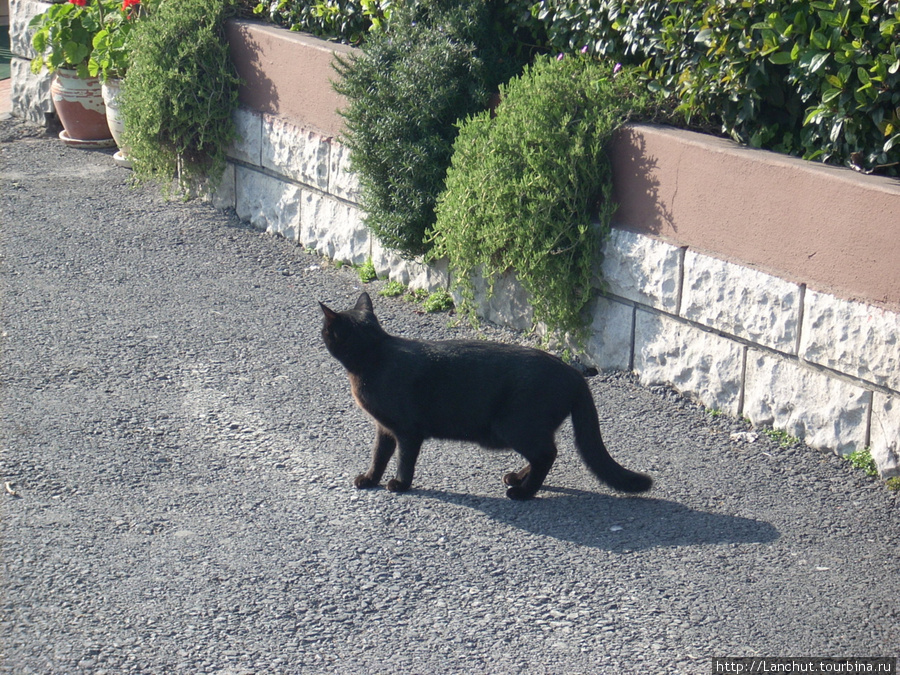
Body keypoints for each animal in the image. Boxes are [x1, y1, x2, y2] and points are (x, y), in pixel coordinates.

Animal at [320, 294, 652, 500]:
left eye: (325, 330)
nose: (318, 332)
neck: (374, 357)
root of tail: (575, 374)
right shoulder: (384, 428)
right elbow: (379, 455)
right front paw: (369, 479)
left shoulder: (407, 430)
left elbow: (404, 459)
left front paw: (400, 485)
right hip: (525, 428)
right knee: (545, 452)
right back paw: (517, 479)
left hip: (514, 425)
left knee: (547, 454)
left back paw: (523, 493)